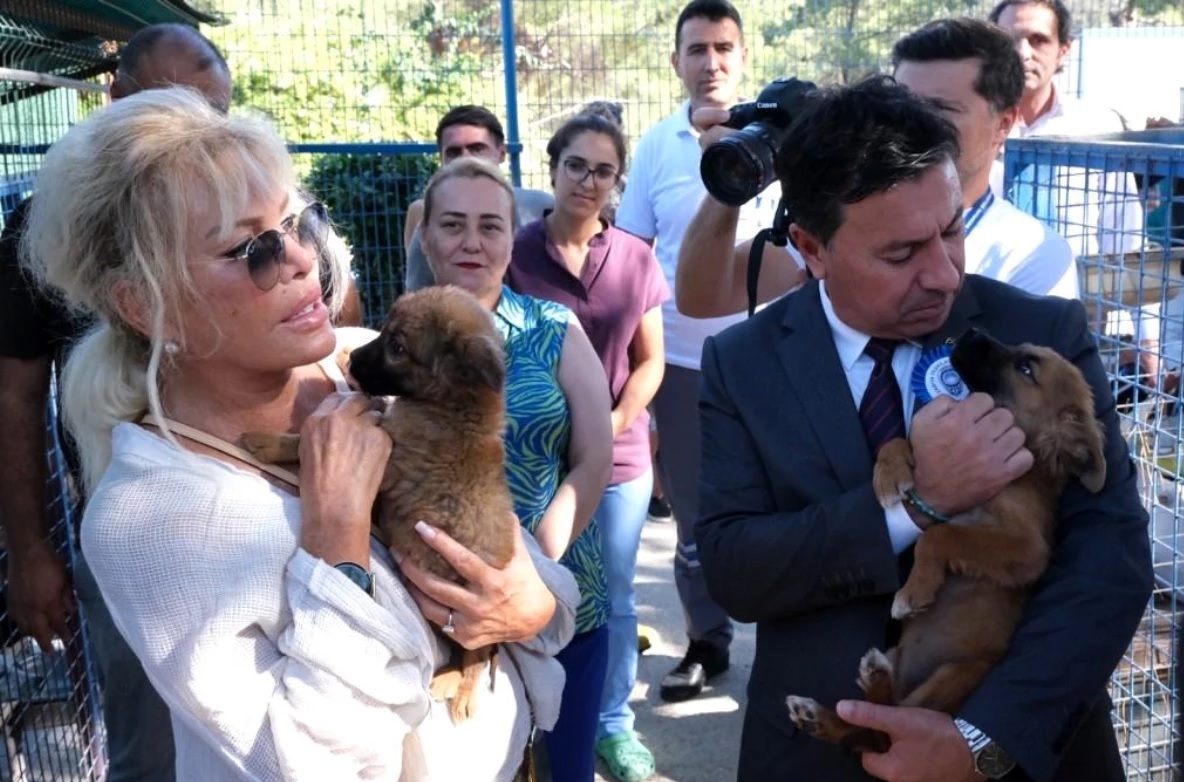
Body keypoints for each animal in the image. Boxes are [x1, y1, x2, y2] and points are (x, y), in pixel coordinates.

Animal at [242, 284, 516, 725]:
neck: (452, 408)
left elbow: (300, 441)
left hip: (469, 619)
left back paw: (461, 694)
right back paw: (448, 678)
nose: (353, 359)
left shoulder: (386, 457)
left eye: (398, 348)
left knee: (476, 655)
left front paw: (266, 441)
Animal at [786, 327, 1108, 753]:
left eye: (1026, 367)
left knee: (886, 732)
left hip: (959, 675)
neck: (1025, 467)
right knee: (871, 731)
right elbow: (902, 442)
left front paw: (913, 592)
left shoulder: (1026, 548)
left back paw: (865, 688)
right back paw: (823, 714)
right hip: (901, 655)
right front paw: (890, 473)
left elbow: (940, 535)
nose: (969, 332)